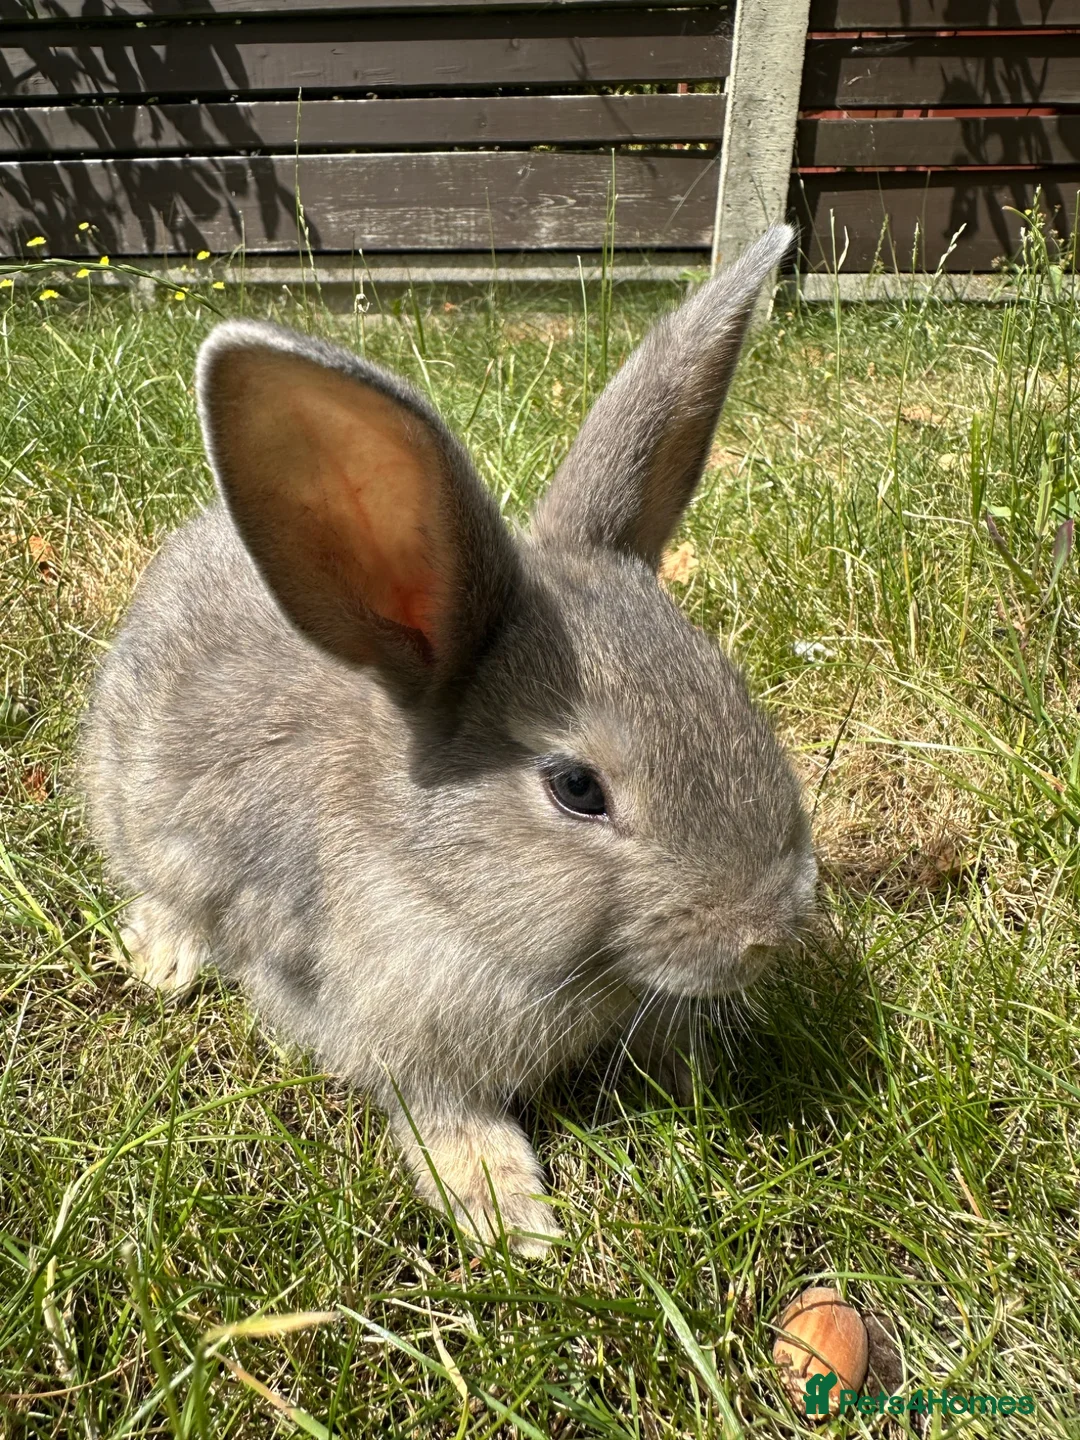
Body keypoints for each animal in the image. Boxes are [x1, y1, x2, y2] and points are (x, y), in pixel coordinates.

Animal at [82, 223, 816, 1256]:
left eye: (736, 694)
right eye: (576, 788)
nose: (765, 933)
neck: (443, 890)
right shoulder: (383, 1031)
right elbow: (441, 1116)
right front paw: (515, 1218)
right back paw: (164, 958)